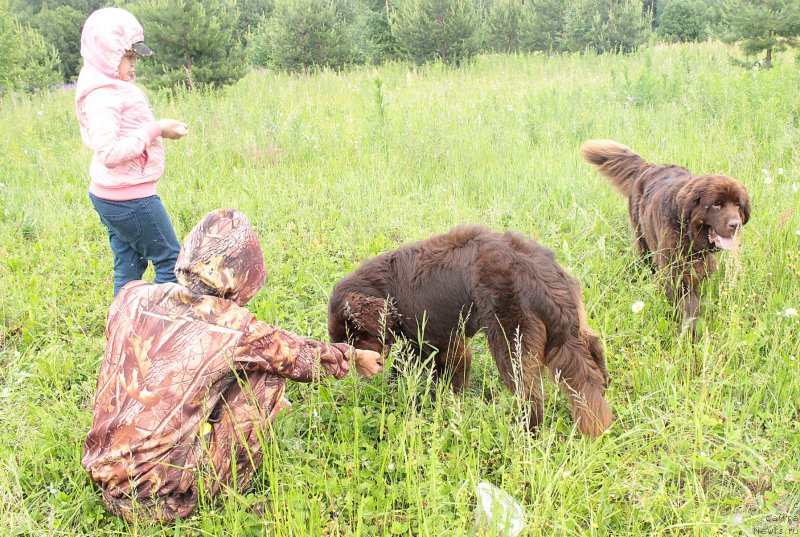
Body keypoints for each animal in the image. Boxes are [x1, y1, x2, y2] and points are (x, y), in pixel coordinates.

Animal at [328, 224, 608, 438]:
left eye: (355, 337)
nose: (356, 370)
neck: (386, 290)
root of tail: (543, 278)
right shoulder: (422, 341)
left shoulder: (443, 340)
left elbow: (449, 377)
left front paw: (446, 403)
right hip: (576, 328)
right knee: (594, 358)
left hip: (510, 341)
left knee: (530, 395)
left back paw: (524, 430)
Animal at [580, 140, 752, 338]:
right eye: (716, 204)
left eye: (738, 205)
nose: (736, 225)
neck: (688, 232)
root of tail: (648, 166)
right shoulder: (675, 271)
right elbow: (688, 304)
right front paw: (693, 332)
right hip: (643, 239)